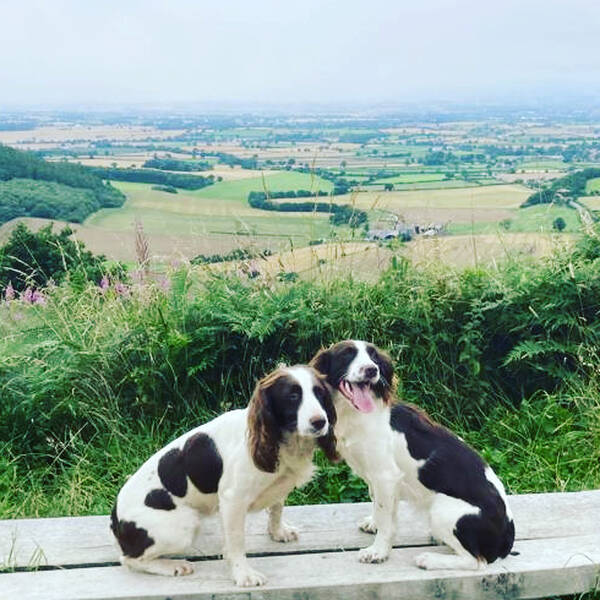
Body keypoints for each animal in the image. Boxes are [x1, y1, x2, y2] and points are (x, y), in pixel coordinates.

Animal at [111, 366, 338, 584]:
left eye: (319, 393)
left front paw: (278, 532)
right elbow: (236, 542)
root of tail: (115, 519)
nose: (320, 422)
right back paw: (173, 565)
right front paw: (244, 575)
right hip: (184, 526)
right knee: (129, 559)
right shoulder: (233, 500)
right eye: (292, 396)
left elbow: (276, 509)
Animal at [312, 340, 512, 568]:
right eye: (347, 354)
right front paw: (373, 524)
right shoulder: (377, 478)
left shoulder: (385, 476)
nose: (372, 370)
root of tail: (508, 533)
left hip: (443, 510)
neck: (357, 415)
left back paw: (429, 559)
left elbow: (385, 518)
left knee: (475, 562)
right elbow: (379, 505)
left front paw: (378, 551)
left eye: (373, 356)